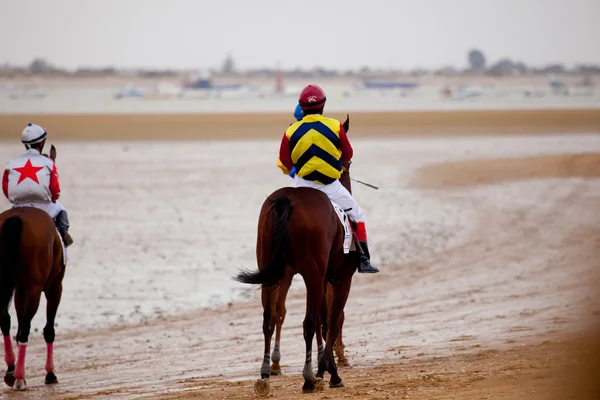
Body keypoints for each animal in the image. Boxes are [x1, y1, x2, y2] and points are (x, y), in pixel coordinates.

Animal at [0, 146, 66, 390]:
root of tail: (18, 218)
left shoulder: (20, 287)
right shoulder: (55, 285)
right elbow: (48, 329)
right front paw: (50, 373)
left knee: (5, 318)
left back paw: (12, 370)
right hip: (37, 286)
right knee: (26, 326)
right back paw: (19, 376)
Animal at [232, 160, 358, 394]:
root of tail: (287, 200)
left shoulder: (322, 280)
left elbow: (323, 321)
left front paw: (326, 368)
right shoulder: (340, 279)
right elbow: (332, 321)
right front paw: (329, 372)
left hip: (272, 273)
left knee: (270, 317)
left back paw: (266, 373)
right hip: (311, 275)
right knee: (308, 322)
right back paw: (307, 377)